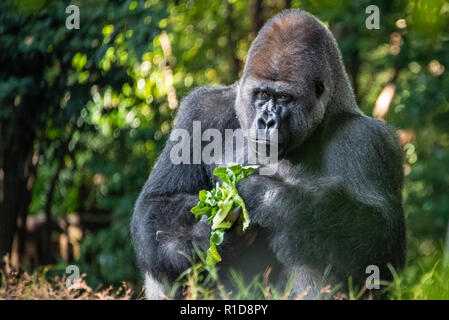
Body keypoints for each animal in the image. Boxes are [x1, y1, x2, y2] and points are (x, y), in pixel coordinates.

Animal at [130, 10, 406, 300]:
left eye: (284, 97)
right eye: (262, 94)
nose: (267, 121)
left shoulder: (367, 140)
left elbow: (379, 243)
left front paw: (265, 196)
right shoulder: (200, 111)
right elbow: (158, 201)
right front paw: (203, 234)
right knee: (162, 256)